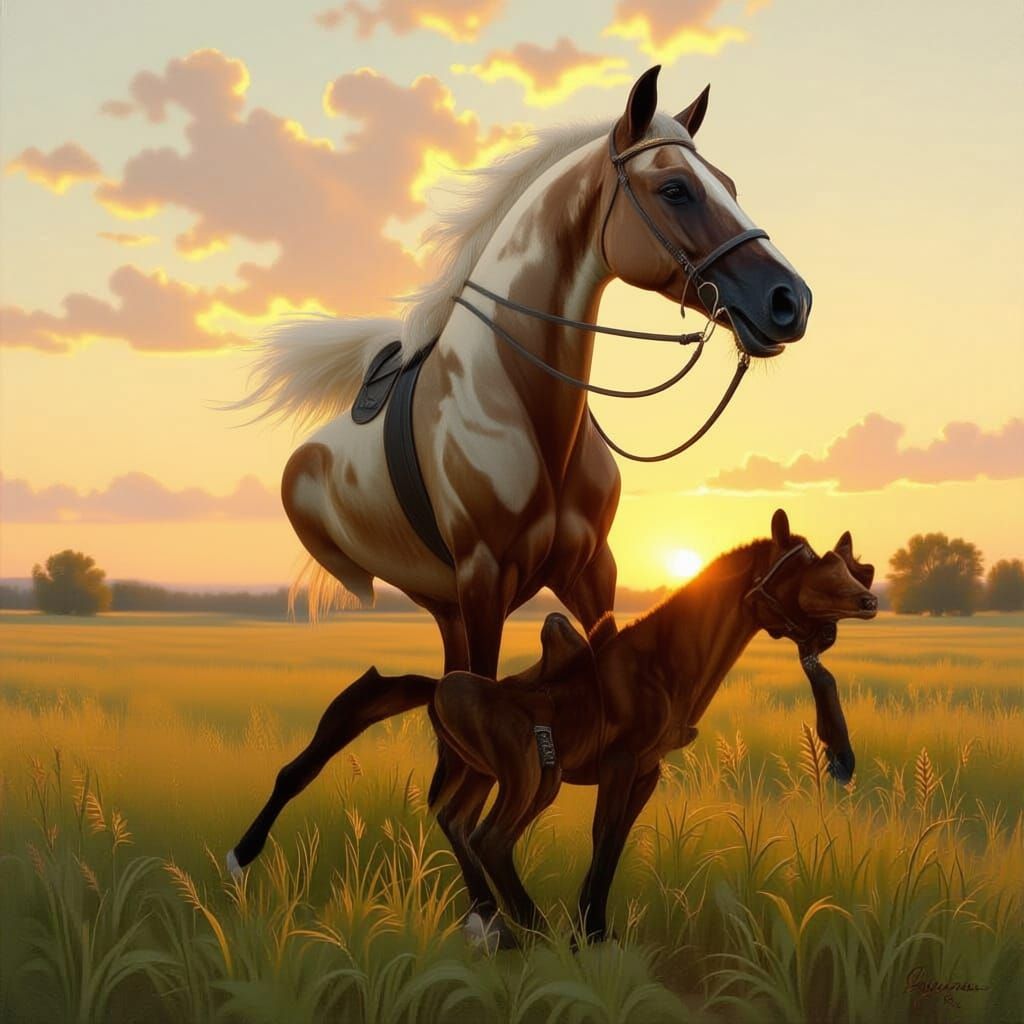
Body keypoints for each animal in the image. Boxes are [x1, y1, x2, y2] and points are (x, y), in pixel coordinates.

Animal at [229, 510, 876, 948]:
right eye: (810, 569)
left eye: (848, 565)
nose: (869, 601)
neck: (664, 664)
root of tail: (436, 689)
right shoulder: (619, 765)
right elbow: (603, 834)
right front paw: (586, 935)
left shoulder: (647, 770)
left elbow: (614, 841)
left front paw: (592, 930)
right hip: (531, 777)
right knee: (488, 836)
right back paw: (528, 930)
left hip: (484, 774)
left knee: (455, 820)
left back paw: (495, 924)